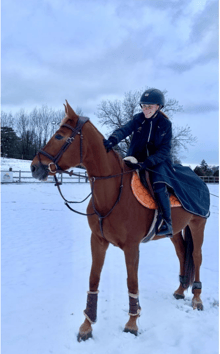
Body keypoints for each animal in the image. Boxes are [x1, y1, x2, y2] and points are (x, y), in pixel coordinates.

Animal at [30, 99, 206, 340]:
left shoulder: (131, 247)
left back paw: (197, 298)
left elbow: (132, 282)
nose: (34, 167)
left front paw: (132, 323)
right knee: (181, 253)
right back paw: (180, 290)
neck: (113, 193)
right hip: (177, 231)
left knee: (196, 257)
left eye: (58, 136)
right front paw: (87, 325)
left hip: (197, 225)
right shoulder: (98, 241)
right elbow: (93, 279)